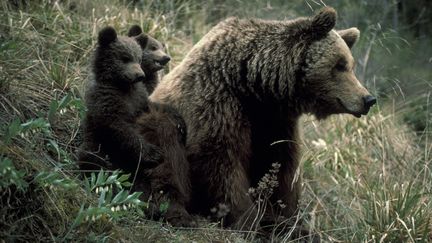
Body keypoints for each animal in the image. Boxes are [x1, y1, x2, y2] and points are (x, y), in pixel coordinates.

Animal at [77, 27, 193, 228]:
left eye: (138, 58)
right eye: (125, 58)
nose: (139, 75)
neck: (122, 85)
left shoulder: (141, 98)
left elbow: (156, 106)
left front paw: (179, 123)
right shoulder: (107, 101)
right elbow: (118, 126)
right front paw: (153, 153)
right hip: (101, 151)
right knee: (94, 161)